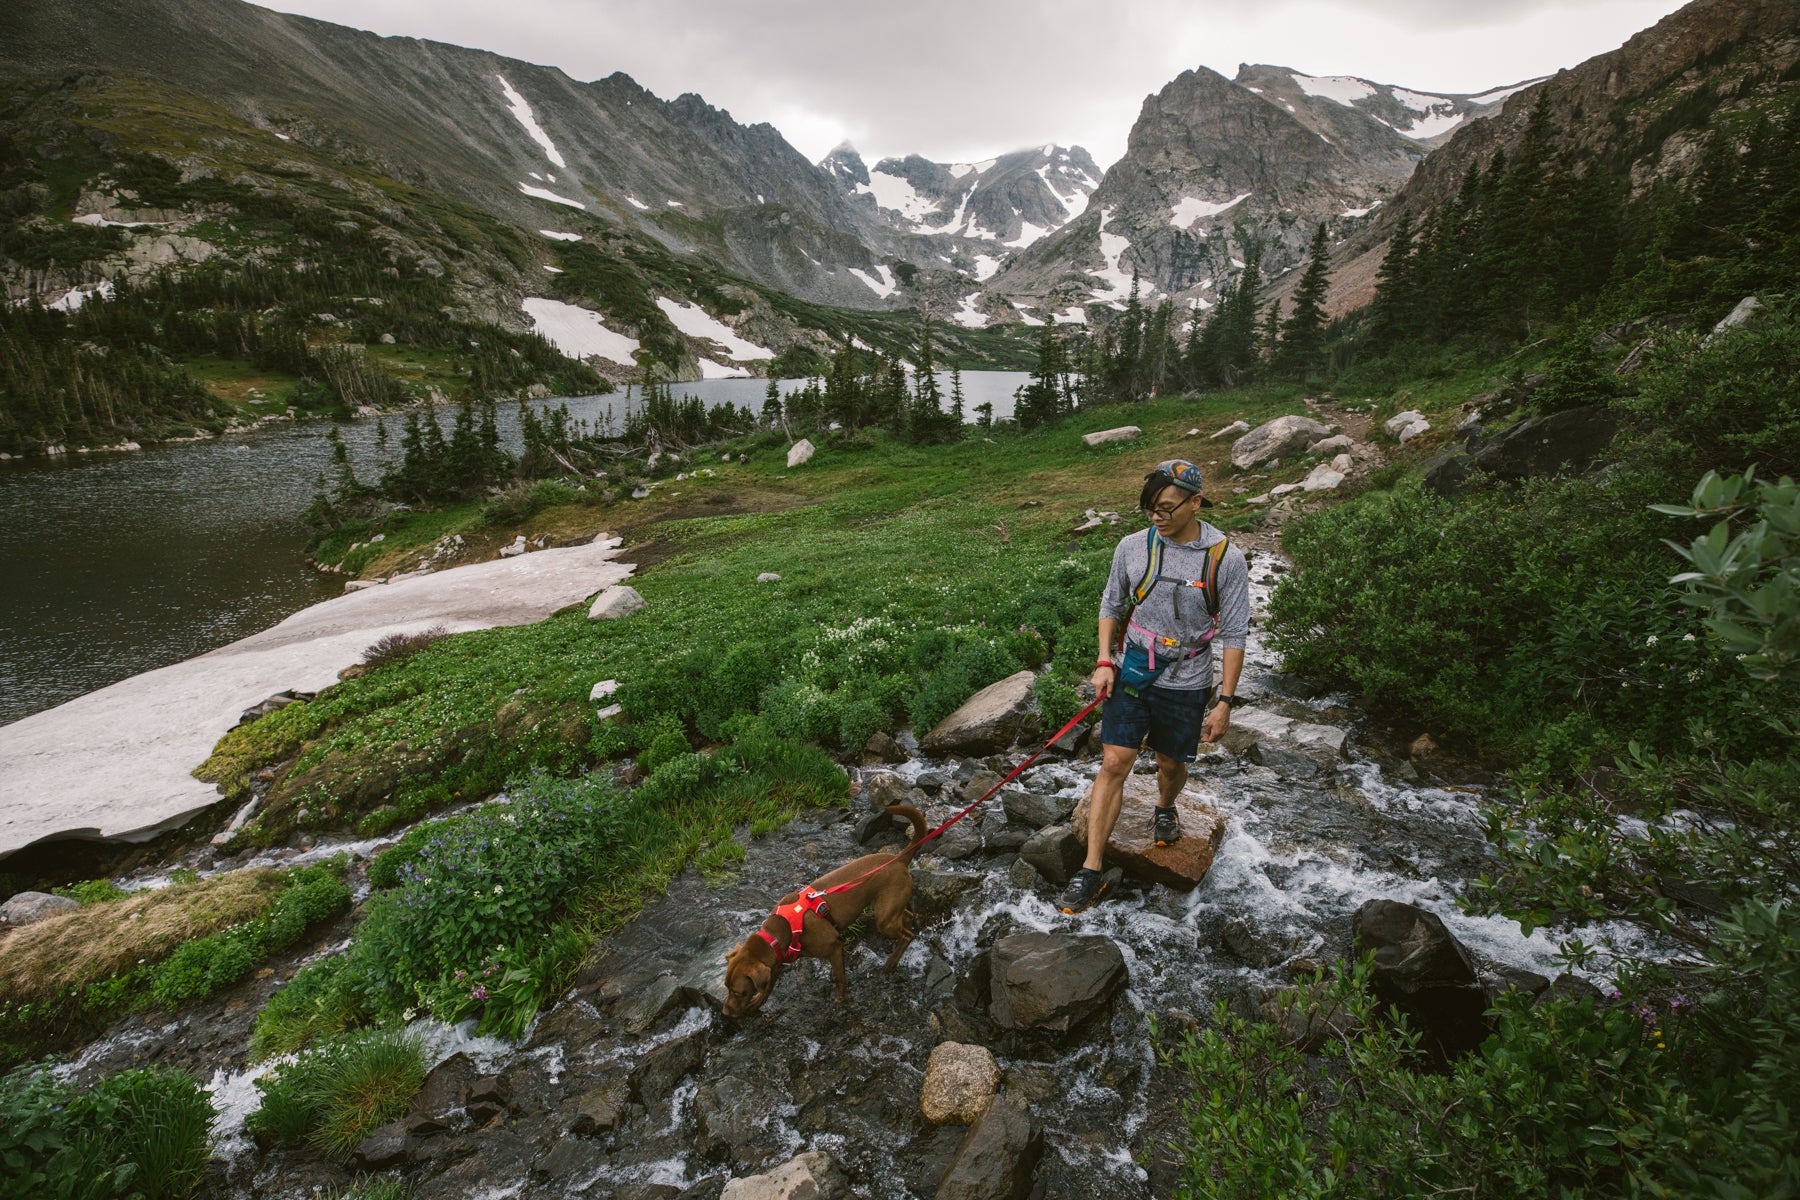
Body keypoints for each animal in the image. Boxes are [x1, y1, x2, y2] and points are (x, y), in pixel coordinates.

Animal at [723, 802, 936, 1021]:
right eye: (727, 987)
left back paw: (890, 963)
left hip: (884, 919)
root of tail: (899, 859)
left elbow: (839, 978)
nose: (725, 1012)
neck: (782, 930)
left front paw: (839, 1002)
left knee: (907, 936)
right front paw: (758, 1001)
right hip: (889, 908)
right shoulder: (777, 962)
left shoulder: (834, 948)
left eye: (740, 992)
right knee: (908, 917)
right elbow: (768, 985)